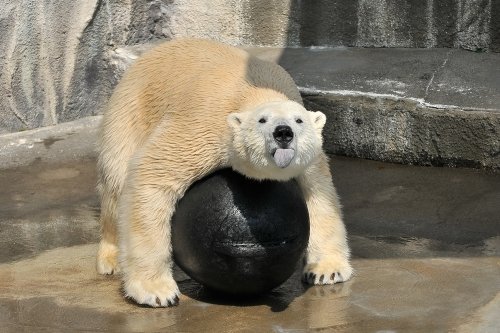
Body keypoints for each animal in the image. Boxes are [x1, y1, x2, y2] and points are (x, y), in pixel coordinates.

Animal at [97, 38, 354, 306]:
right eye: (262, 120)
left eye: (299, 120)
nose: (283, 132)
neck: (256, 91)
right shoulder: (203, 129)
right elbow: (153, 175)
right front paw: (156, 291)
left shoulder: (309, 162)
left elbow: (320, 196)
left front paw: (327, 270)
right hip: (130, 113)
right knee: (115, 181)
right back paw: (112, 259)